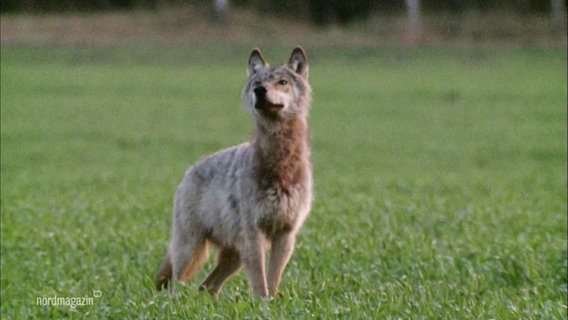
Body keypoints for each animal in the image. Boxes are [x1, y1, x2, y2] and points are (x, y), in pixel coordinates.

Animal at [155, 47, 312, 298]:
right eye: (257, 82)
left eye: (282, 82)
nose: (260, 90)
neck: (281, 164)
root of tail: (189, 170)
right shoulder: (253, 234)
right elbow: (259, 283)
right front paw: (261, 303)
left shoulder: (286, 235)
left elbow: (272, 281)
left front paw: (271, 303)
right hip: (192, 249)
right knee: (175, 284)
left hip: (233, 257)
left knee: (206, 286)